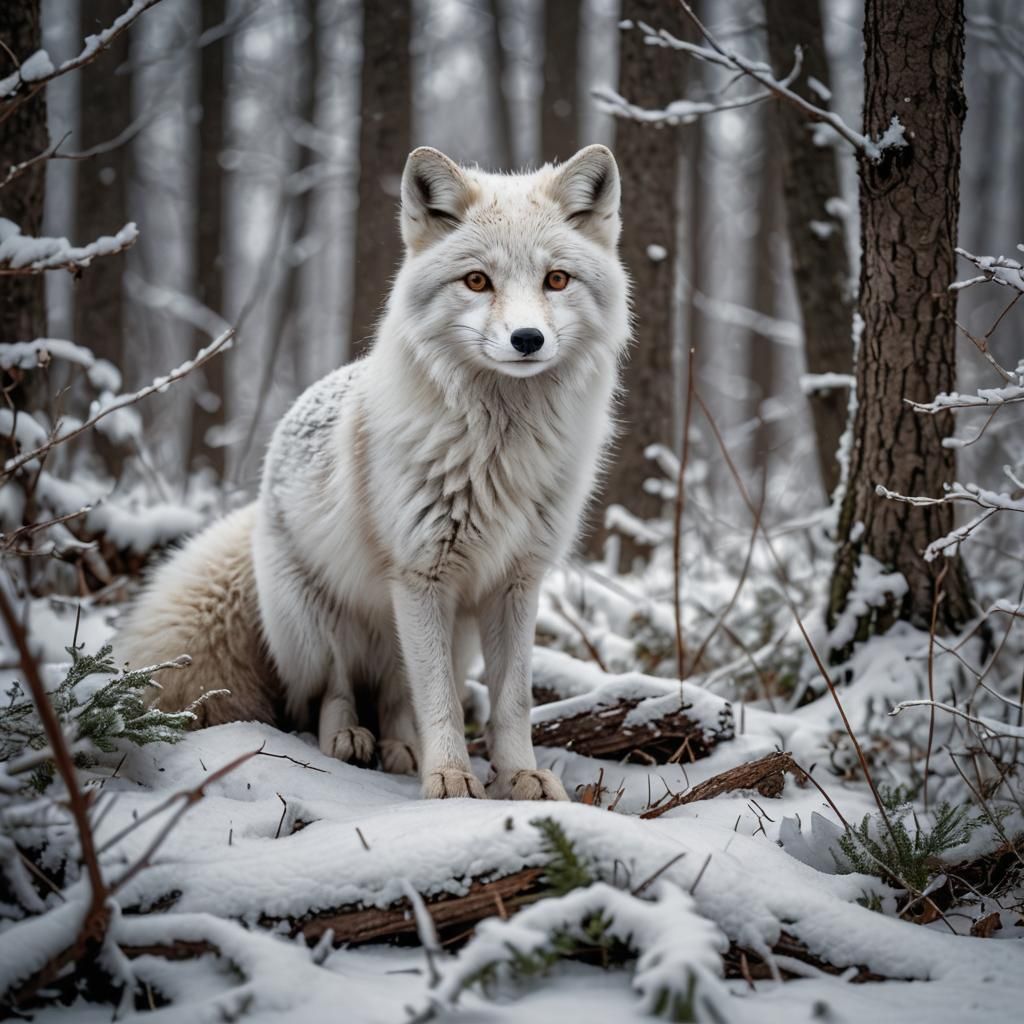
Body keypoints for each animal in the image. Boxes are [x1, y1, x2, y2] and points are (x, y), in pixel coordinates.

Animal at [115, 144, 630, 801]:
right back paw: (351, 741)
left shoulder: (514, 583)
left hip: (435, 631)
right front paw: (450, 779)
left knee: (393, 694)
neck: (501, 450)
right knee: (331, 695)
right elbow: (438, 702)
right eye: (478, 281)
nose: (527, 338)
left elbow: (510, 703)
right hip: (320, 625)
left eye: (556, 279)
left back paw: (401, 749)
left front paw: (518, 776)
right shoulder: (420, 575)